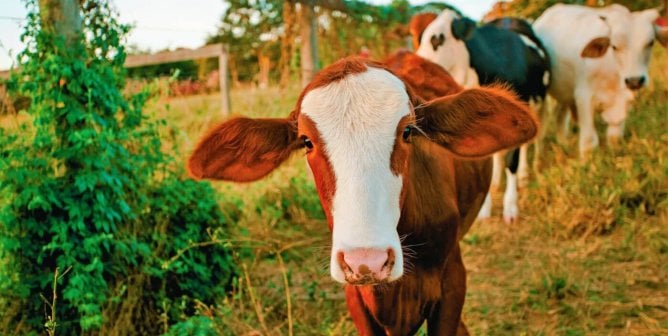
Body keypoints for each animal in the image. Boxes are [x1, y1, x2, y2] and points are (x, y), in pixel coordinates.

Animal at [414, 9, 552, 223]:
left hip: (539, 104)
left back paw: (525, 174)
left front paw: (511, 207)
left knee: (531, 142)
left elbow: (512, 160)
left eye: (438, 39)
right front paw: (485, 209)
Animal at [532, 3, 668, 157]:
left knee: (560, 117)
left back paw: (564, 145)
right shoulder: (584, 97)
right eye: (614, 46)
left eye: (650, 43)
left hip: (564, 93)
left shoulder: (623, 101)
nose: (635, 81)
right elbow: (589, 141)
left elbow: (614, 137)